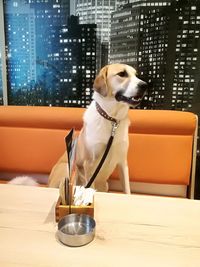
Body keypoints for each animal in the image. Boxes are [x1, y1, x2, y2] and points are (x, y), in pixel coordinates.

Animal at [48, 63, 147, 194]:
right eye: (122, 74)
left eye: (136, 75)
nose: (145, 85)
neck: (111, 119)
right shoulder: (89, 164)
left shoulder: (122, 162)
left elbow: (127, 189)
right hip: (68, 169)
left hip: (105, 185)